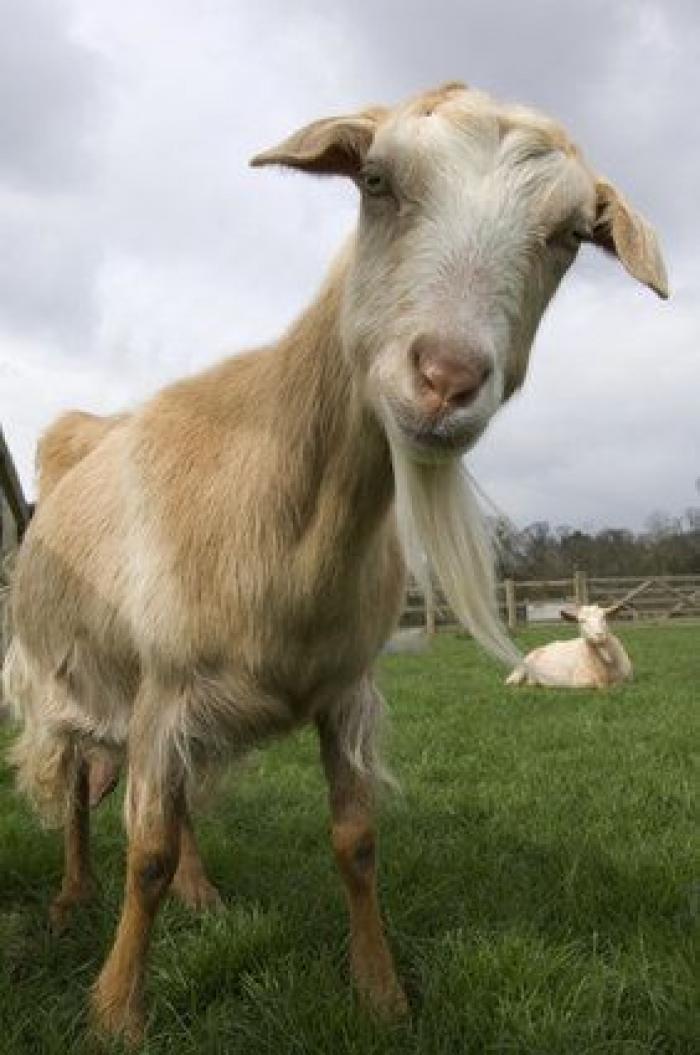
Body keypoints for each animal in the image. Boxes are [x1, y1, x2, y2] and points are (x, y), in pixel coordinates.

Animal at [2, 82, 667, 1043]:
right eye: (377, 180)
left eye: (571, 234)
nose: (445, 377)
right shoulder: (164, 685)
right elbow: (146, 852)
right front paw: (117, 1011)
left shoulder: (345, 687)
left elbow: (354, 842)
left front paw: (382, 993)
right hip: (63, 680)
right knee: (77, 792)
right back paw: (71, 896)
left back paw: (202, 891)